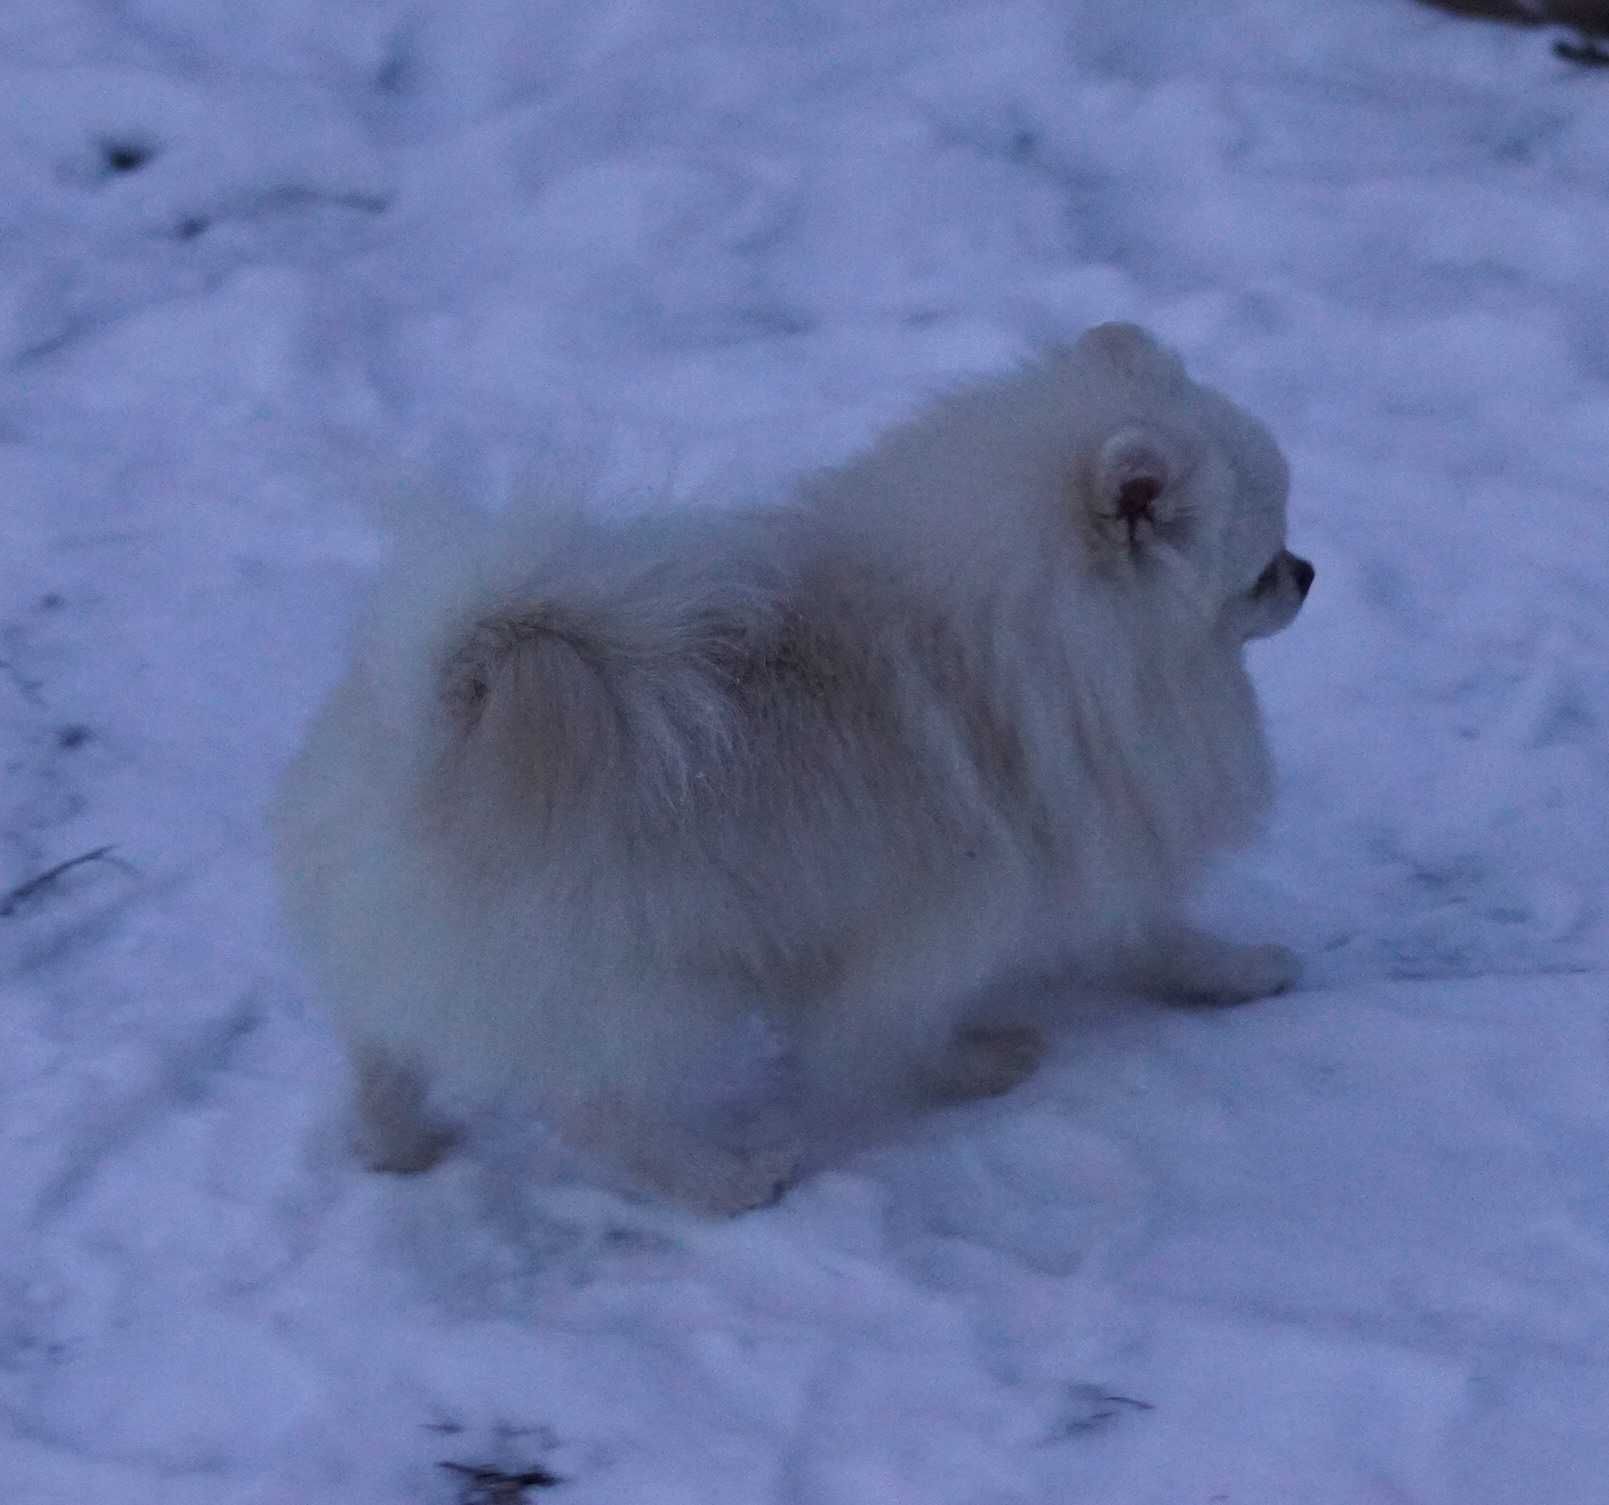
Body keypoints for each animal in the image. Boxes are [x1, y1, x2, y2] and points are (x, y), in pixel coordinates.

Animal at [273, 320, 1306, 1210]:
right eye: (1259, 569)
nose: (1308, 574)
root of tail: (432, 717)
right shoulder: (946, 908)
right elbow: (902, 1024)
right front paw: (982, 1061)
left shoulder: (1087, 831)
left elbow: (1150, 932)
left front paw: (1233, 970)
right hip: (648, 979)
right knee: (599, 1109)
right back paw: (724, 1178)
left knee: (383, 1052)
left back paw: (397, 1144)